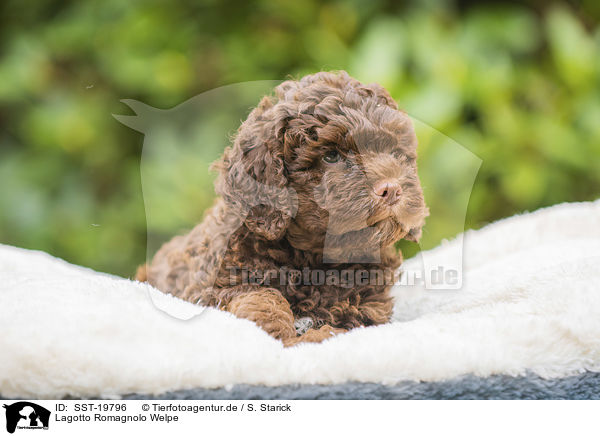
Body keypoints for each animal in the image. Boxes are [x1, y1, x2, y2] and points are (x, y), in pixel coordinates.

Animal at [137, 71, 426, 346]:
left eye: (394, 152)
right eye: (331, 156)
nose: (392, 189)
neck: (312, 260)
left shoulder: (366, 309)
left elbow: (340, 327)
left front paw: (313, 334)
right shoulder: (218, 285)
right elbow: (262, 297)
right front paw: (286, 331)